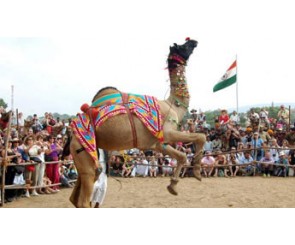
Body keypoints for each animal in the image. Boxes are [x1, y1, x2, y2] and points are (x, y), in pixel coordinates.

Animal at [66, 37, 206, 207]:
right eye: (182, 46)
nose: (194, 41)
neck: (172, 105)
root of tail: (72, 134)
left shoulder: (157, 143)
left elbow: (182, 155)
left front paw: (172, 186)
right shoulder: (168, 132)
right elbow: (201, 137)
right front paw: (197, 172)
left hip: (84, 157)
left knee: (75, 197)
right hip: (84, 153)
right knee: (83, 199)